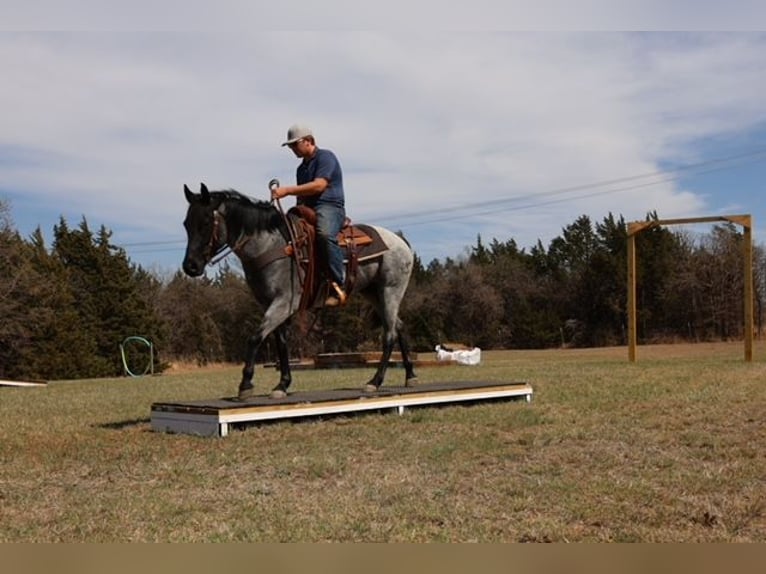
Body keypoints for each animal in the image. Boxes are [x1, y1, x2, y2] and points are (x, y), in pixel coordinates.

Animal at [182, 182, 419, 400]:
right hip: (374, 293)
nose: (190, 266)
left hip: (390, 290)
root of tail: (401, 242)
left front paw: (246, 384)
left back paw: (374, 382)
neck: (270, 245)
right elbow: (281, 343)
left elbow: (255, 337)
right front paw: (282, 384)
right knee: (398, 327)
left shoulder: (284, 303)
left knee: (389, 335)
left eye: (205, 222)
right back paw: (410, 376)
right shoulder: (272, 304)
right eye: (186, 224)